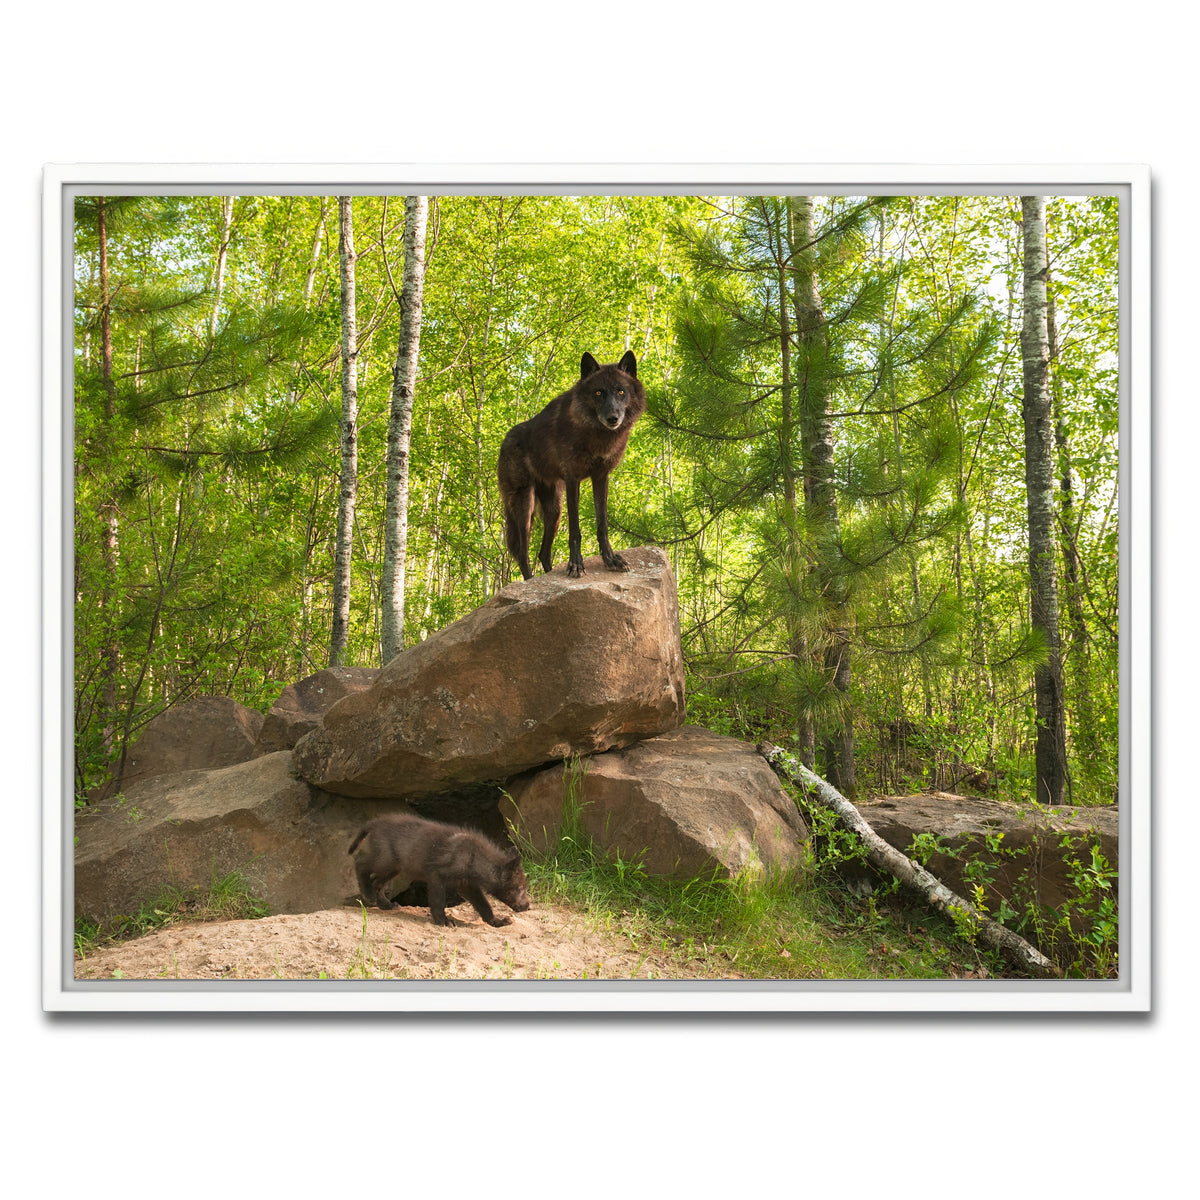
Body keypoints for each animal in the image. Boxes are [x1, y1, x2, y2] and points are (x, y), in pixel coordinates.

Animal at [348, 813, 532, 927]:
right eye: (520, 888)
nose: (528, 906)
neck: (472, 857)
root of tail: (375, 822)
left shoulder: (467, 886)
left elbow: (484, 906)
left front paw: (496, 921)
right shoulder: (436, 877)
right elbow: (437, 902)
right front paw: (443, 921)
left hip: (394, 867)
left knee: (377, 882)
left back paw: (385, 904)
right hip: (385, 860)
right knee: (360, 863)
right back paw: (368, 895)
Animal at [497, 350, 646, 580]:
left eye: (621, 391)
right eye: (598, 393)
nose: (613, 418)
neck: (596, 436)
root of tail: (505, 440)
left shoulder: (601, 477)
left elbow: (602, 524)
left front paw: (610, 559)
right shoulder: (572, 479)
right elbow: (575, 529)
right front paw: (576, 564)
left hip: (554, 510)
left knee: (543, 553)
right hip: (525, 506)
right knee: (522, 553)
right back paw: (529, 582)